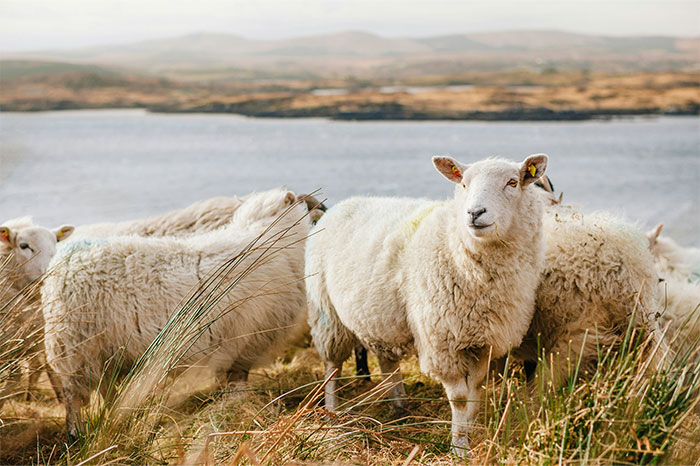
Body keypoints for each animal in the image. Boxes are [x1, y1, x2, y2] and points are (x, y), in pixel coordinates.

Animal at [41, 188, 311, 437]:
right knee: (73, 397)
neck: (269, 239)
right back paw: (76, 433)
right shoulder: (244, 342)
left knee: (105, 390)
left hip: (102, 351)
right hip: (75, 346)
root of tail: (61, 264)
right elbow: (238, 382)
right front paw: (239, 407)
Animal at [306, 154, 549, 456]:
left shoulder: (483, 341)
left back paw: (400, 408)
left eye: (512, 182)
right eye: (464, 184)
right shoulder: (442, 341)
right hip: (326, 312)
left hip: (379, 317)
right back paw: (333, 414)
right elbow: (460, 398)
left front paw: (470, 431)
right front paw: (459, 447)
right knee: (332, 366)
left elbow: (475, 391)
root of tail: (340, 206)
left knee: (387, 361)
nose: (474, 213)